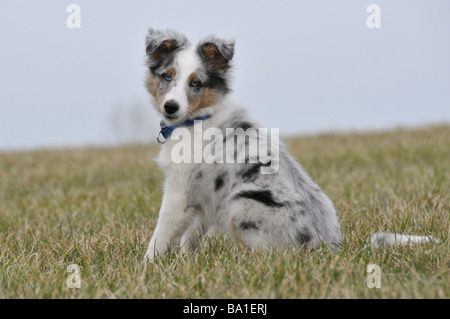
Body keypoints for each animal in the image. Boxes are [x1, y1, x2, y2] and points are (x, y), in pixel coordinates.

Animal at [142, 28, 434, 262]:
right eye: (166, 77)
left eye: (195, 83)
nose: (171, 107)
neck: (197, 118)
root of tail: (328, 247)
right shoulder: (203, 197)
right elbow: (191, 236)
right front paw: (185, 262)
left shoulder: (178, 193)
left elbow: (161, 233)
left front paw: (149, 264)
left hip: (241, 204)